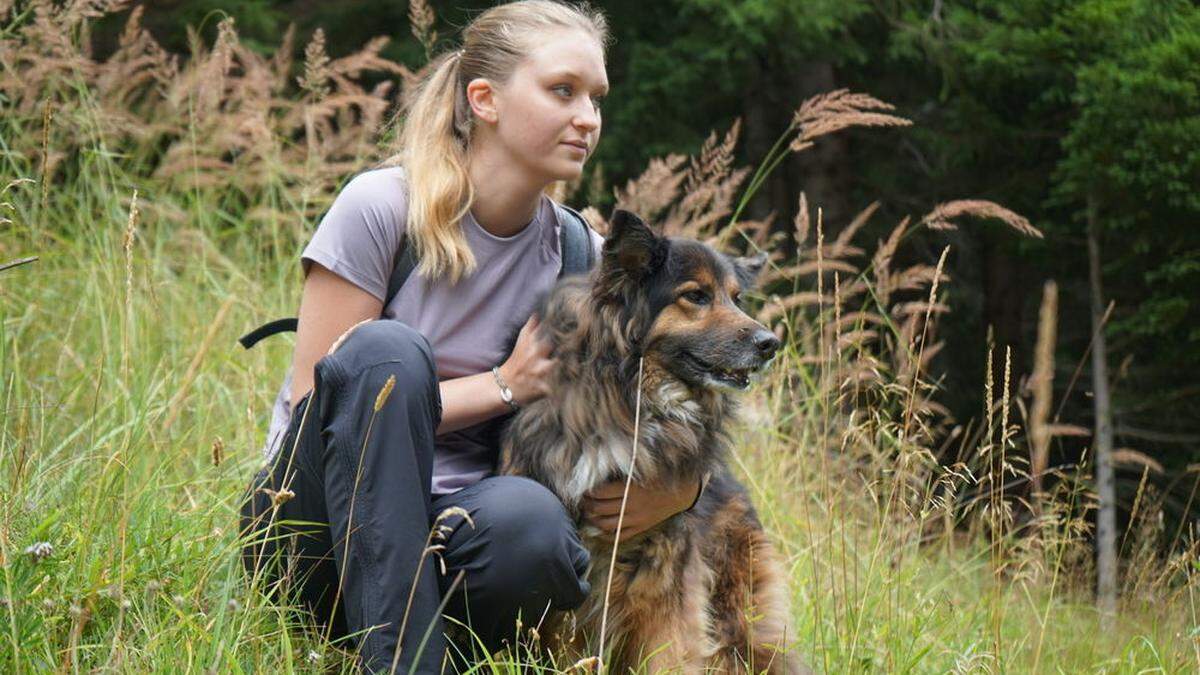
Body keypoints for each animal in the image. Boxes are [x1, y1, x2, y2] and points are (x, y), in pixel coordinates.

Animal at [496, 207, 806, 667]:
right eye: (696, 296)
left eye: (736, 298)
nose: (770, 343)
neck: (630, 398)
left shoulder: (667, 572)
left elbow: (670, 655)